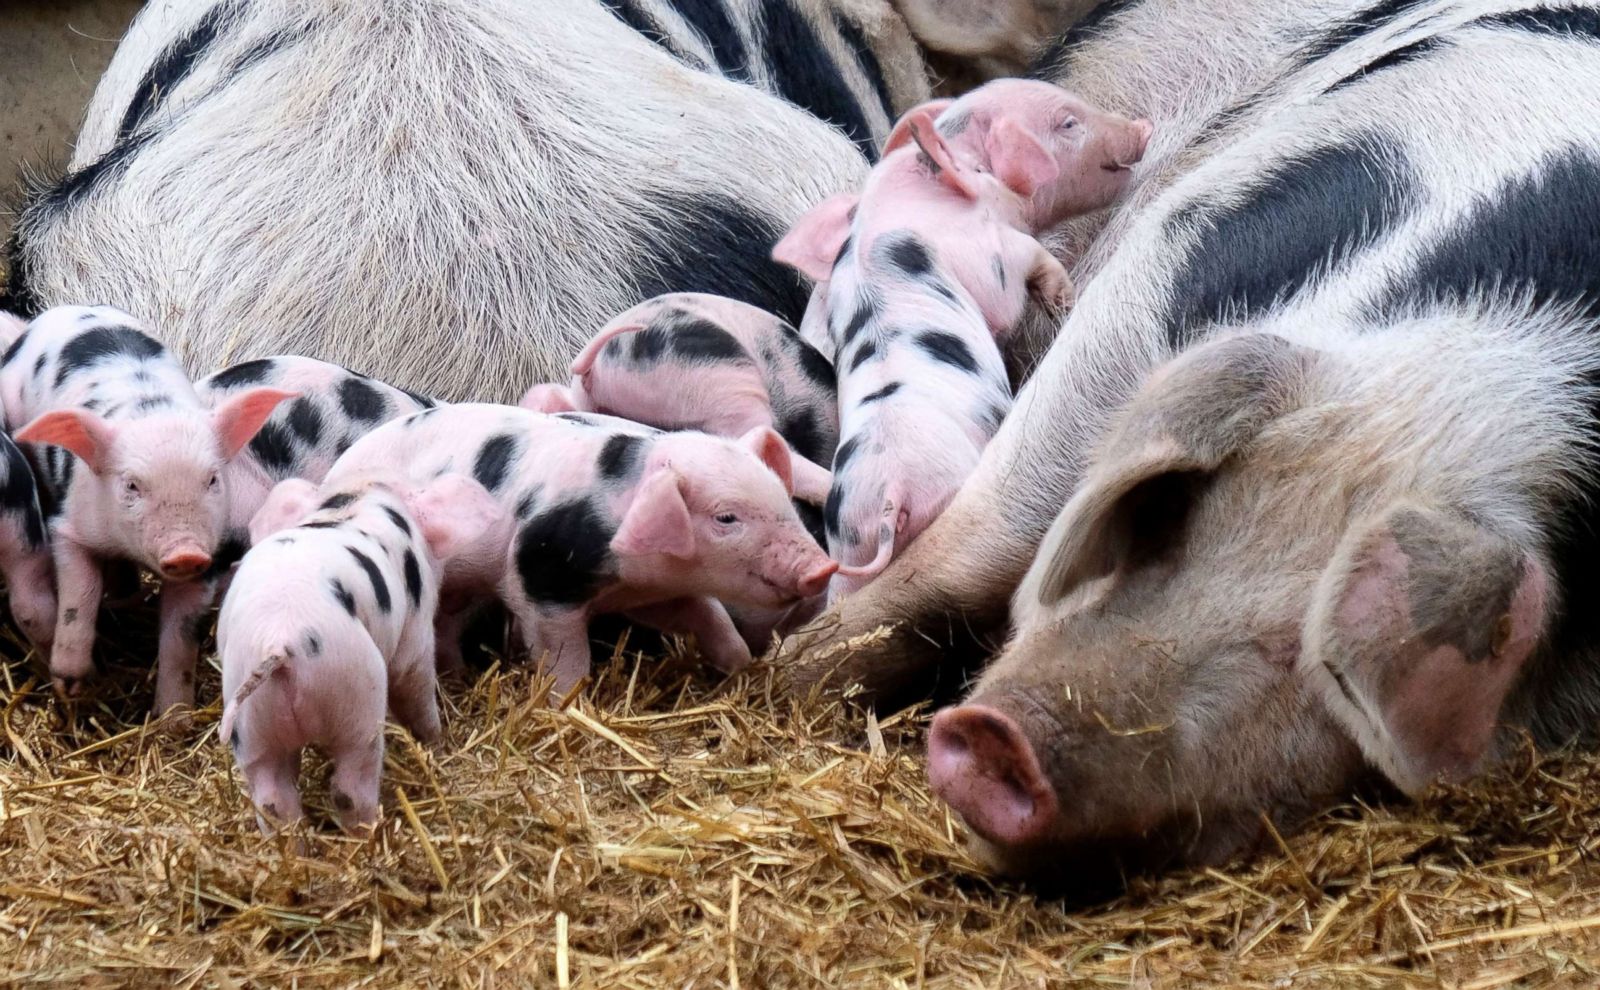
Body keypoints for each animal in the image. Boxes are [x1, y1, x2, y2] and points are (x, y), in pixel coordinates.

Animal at [0, 305, 294, 710]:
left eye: (212, 480)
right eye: (132, 485)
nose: (185, 551)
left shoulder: (206, 562)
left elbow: (179, 637)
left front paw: (174, 715)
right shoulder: (70, 525)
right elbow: (79, 597)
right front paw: (74, 685)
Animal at [216, 476, 496, 831]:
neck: (359, 495)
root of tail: (281, 640)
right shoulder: (415, 634)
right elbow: (414, 686)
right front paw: (437, 744)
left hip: (251, 722)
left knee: (273, 800)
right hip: (355, 695)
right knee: (350, 786)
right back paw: (370, 830)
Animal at [315, 403, 838, 697]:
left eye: (783, 500)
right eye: (726, 518)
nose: (823, 566)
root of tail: (338, 469)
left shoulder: (653, 593)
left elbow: (710, 619)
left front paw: (742, 668)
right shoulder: (540, 579)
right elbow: (567, 657)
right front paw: (569, 706)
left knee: (447, 625)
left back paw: (459, 676)